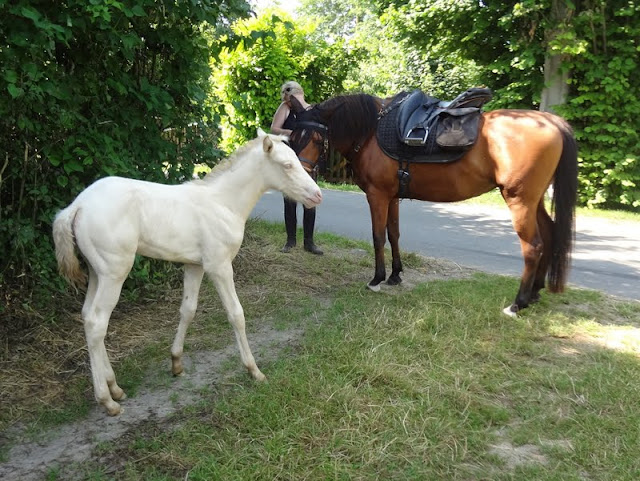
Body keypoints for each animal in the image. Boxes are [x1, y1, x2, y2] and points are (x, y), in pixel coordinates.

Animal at [288, 95, 576, 316]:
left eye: (317, 139)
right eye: (292, 138)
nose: (300, 177)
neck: (370, 132)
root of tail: (552, 121)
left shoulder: (377, 195)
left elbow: (378, 236)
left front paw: (377, 279)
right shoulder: (392, 196)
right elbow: (394, 234)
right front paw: (395, 275)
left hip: (520, 200)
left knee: (533, 246)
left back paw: (518, 303)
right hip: (534, 201)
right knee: (549, 235)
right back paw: (535, 293)